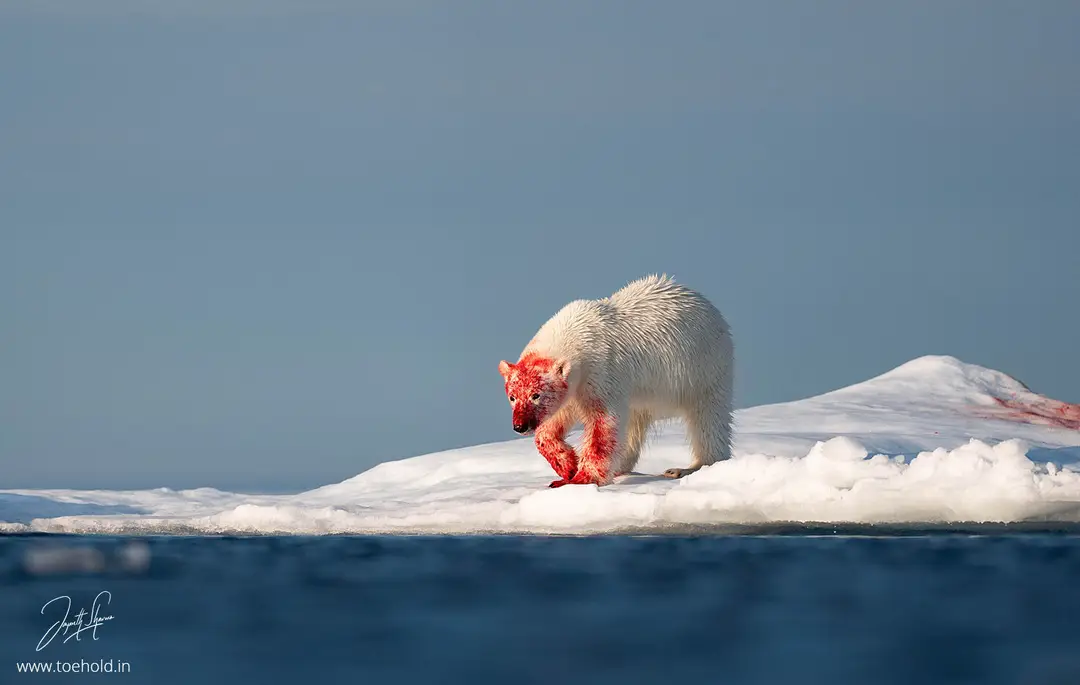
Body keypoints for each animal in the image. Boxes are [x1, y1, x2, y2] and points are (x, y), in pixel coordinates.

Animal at [496, 272, 734, 486]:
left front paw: (581, 478)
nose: (520, 425)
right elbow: (555, 421)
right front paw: (568, 466)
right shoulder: (575, 388)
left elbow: (603, 423)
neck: (577, 333)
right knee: (634, 423)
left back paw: (687, 468)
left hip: (703, 369)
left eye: (536, 395)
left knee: (707, 418)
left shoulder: (601, 371)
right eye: (512, 396)